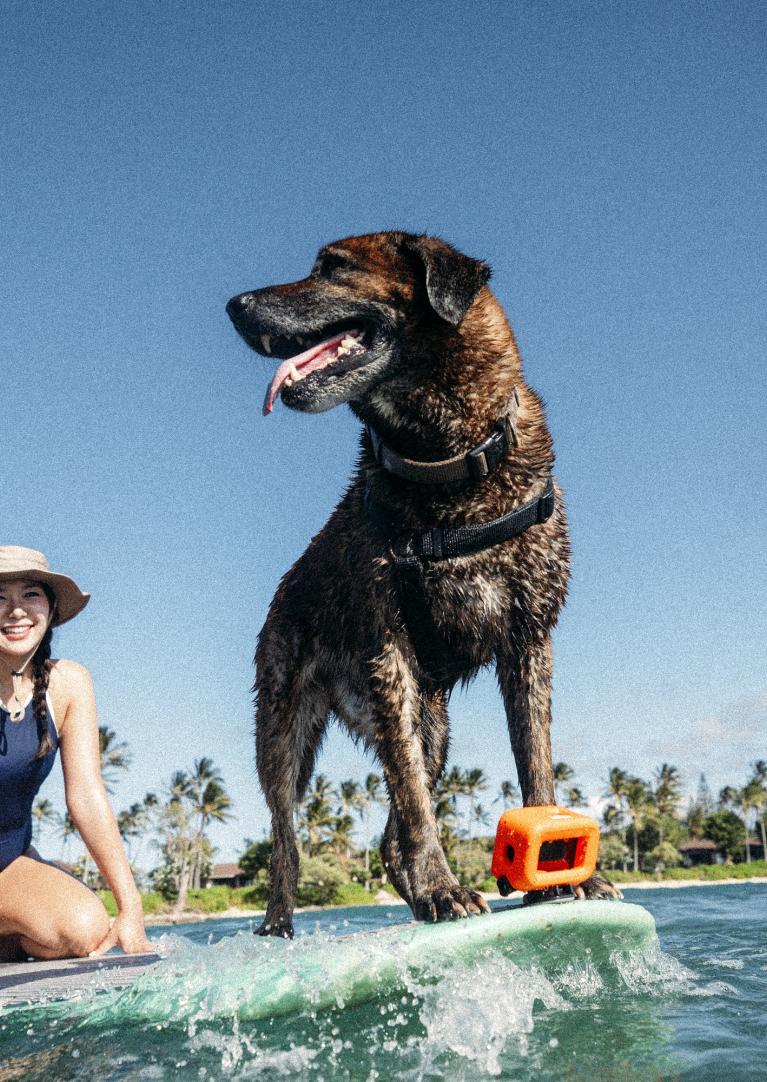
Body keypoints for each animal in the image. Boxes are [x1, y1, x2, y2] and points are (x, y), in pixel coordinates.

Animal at [222, 230, 614, 939]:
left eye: (334, 268)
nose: (235, 306)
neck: (448, 459)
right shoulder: (389, 653)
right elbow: (410, 797)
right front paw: (442, 887)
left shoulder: (530, 642)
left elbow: (536, 764)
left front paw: (563, 876)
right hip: (289, 728)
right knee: (288, 836)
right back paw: (278, 926)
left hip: (432, 728)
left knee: (388, 834)